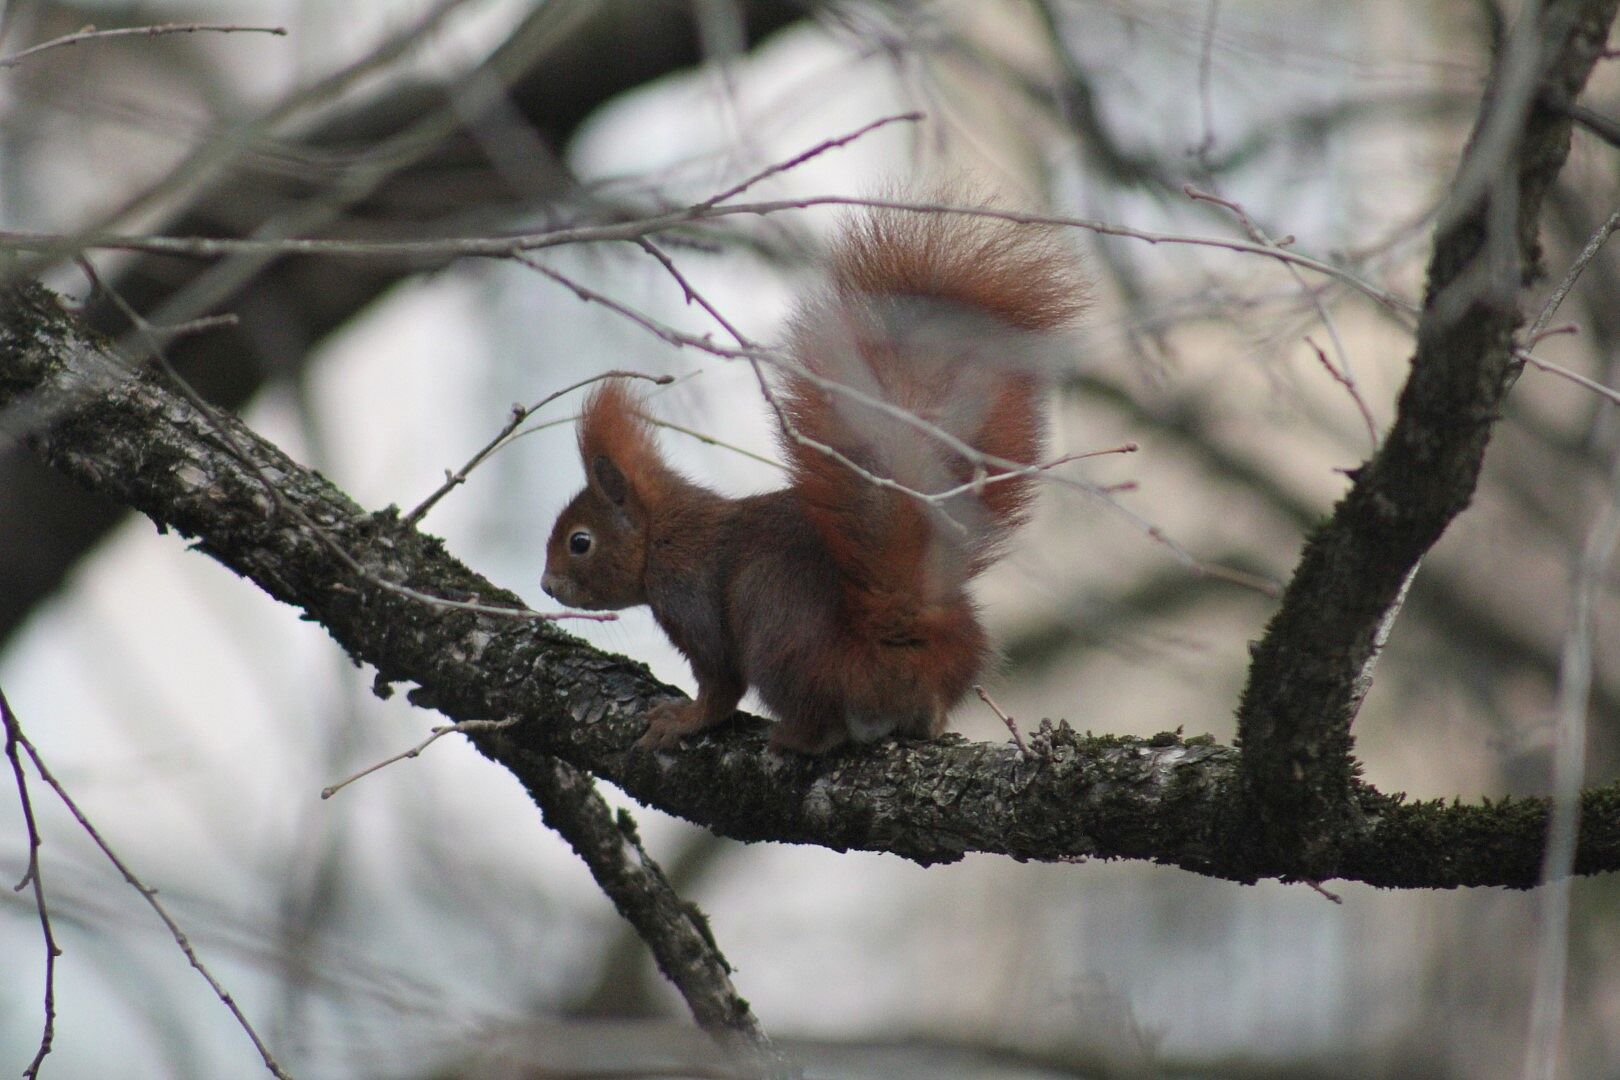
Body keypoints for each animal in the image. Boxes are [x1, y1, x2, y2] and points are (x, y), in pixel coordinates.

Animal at [537, 204, 1082, 751]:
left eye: (580, 542)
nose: (545, 586)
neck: (661, 532)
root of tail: (889, 646)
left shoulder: (689, 596)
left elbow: (720, 683)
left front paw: (684, 719)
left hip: (772, 627)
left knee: (821, 720)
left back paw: (795, 736)